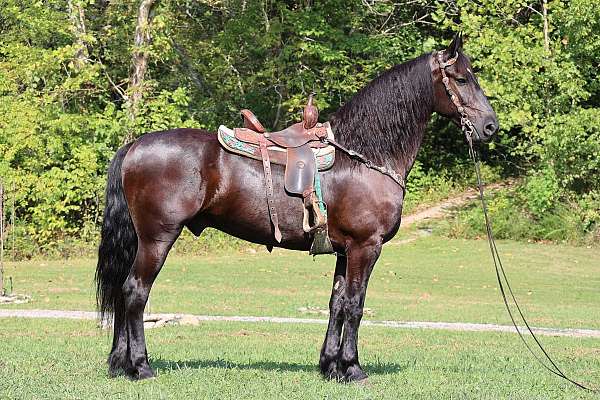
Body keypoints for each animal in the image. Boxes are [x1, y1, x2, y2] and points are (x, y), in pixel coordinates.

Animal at [94, 34, 496, 382]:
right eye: (462, 78)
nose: (490, 126)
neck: (364, 156)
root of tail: (134, 146)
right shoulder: (365, 247)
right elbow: (356, 305)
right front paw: (353, 369)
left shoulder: (344, 251)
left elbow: (337, 304)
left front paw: (331, 367)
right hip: (157, 239)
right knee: (135, 292)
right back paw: (140, 366)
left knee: (123, 293)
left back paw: (119, 364)